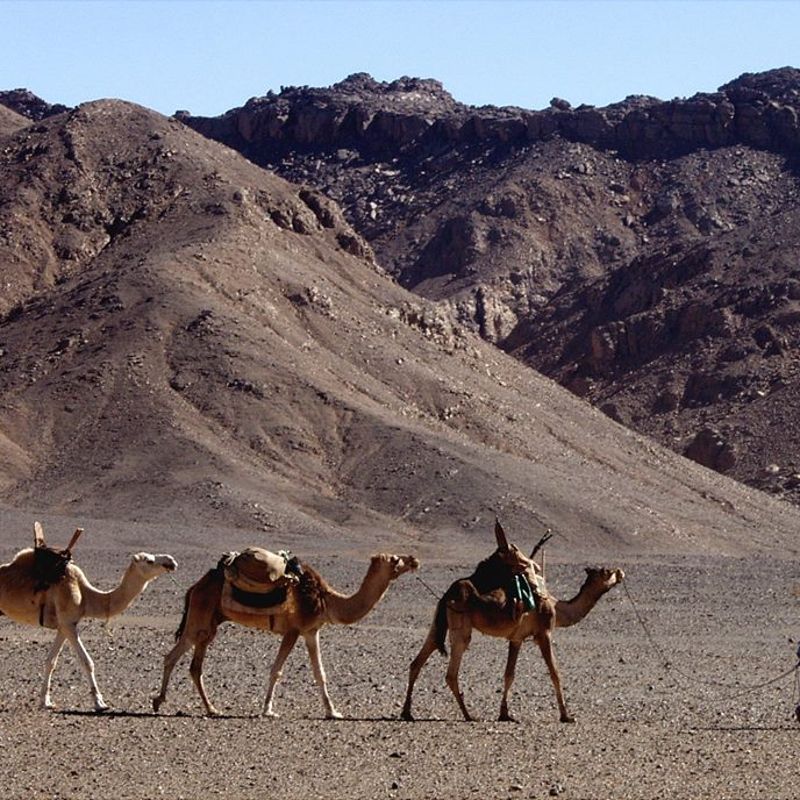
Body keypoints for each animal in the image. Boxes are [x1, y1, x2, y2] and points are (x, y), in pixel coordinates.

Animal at [0, 523, 178, 711]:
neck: (85, 595)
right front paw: (100, 703)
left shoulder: (64, 626)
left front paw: (46, 702)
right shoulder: (69, 624)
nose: (171, 561)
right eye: (149, 561)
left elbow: (51, 661)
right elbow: (87, 662)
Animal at [152, 551, 420, 718]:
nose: (415, 560)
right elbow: (277, 670)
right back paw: (167, 702)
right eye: (396, 558)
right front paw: (268, 709)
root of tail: (194, 587)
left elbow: (320, 673)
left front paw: (333, 712)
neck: (326, 600)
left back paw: (203, 708)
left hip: (208, 623)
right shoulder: (293, 630)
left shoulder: (311, 631)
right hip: (201, 618)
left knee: (189, 664)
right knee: (178, 658)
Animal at [401, 546, 624, 723]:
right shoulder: (544, 633)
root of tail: (448, 594)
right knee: (451, 671)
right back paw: (468, 715)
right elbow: (555, 673)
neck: (557, 607)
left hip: (438, 623)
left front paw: (505, 714)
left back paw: (407, 713)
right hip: (460, 627)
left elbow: (509, 674)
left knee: (418, 660)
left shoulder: (517, 639)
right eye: (606, 572)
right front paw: (566, 716)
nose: (621, 572)